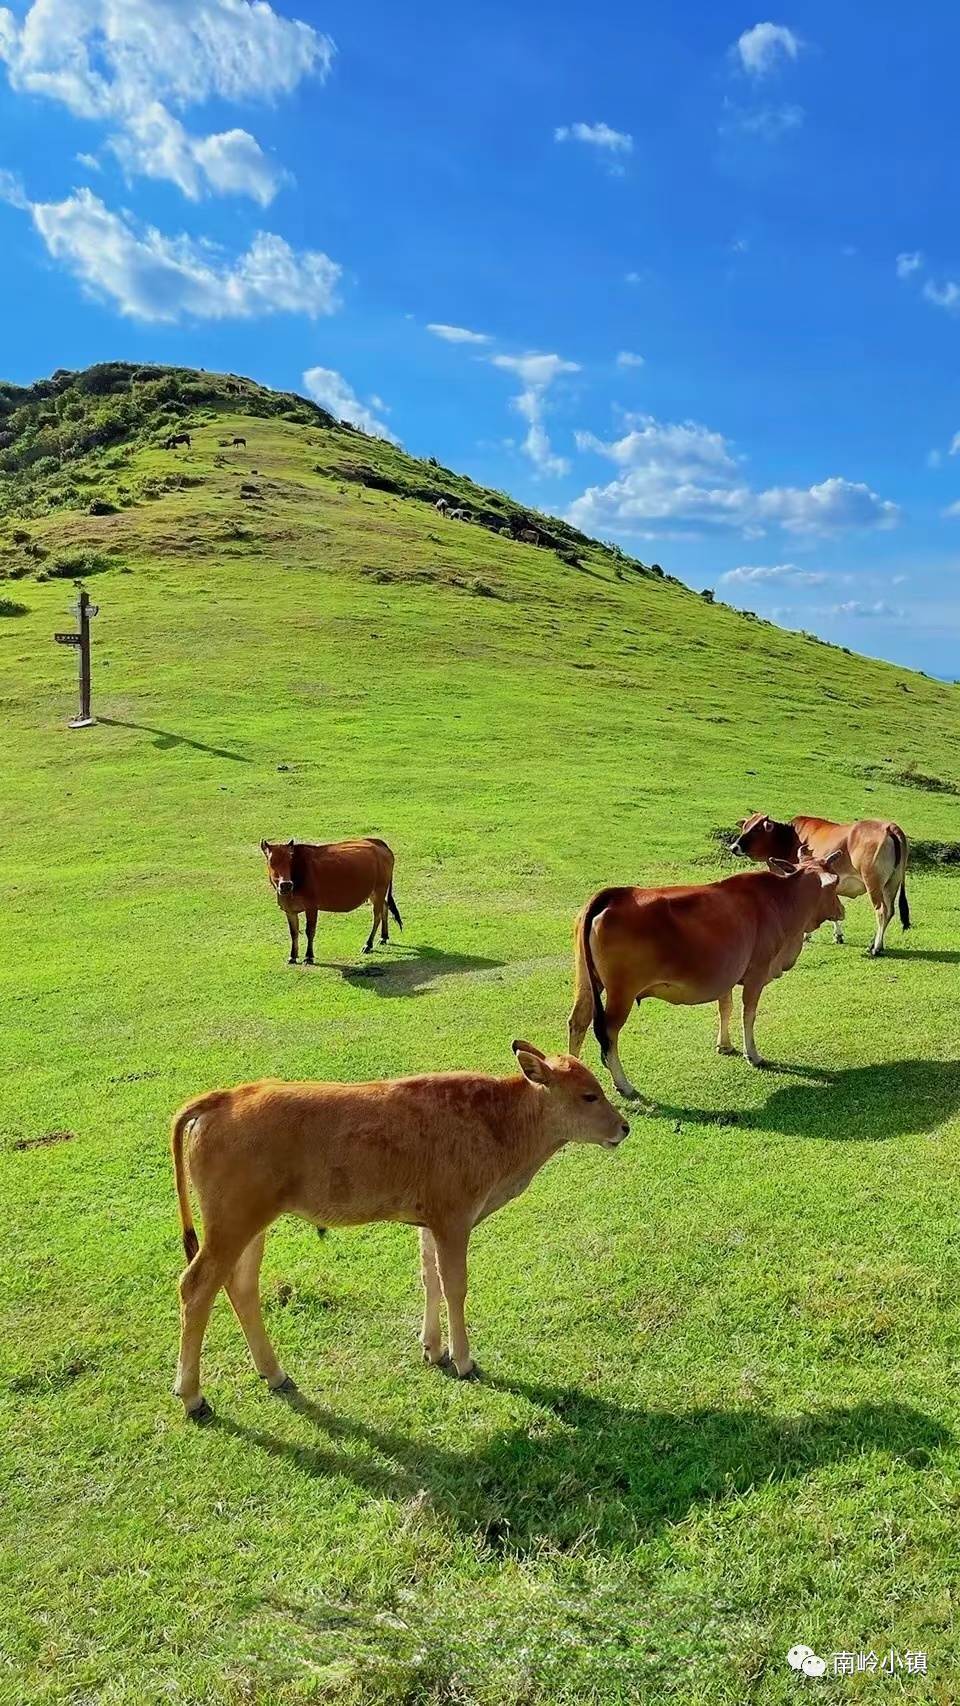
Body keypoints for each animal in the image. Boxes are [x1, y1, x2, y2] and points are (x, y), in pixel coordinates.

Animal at [259, 835, 402, 969]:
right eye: (271, 861)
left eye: (290, 859)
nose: (286, 885)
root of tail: (378, 843)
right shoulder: (289, 910)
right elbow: (294, 932)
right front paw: (292, 957)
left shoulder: (311, 907)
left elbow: (309, 931)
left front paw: (308, 957)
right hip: (374, 892)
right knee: (385, 907)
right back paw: (383, 937)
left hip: (379, 889)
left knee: (377, 916)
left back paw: (368, 944)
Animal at [566, 859, 845, 1098]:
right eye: (836, 885)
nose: (842, 910)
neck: (781, 900)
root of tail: (613, 894)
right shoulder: (756, 973)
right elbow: (748, 1014)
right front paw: (752, 1055)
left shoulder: (727, 975)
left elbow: (725, 1007)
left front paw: (725, 1045)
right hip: (622, 993)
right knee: (608, 1032)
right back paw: (624, 1085)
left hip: (586, 981)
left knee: (578, 1020)